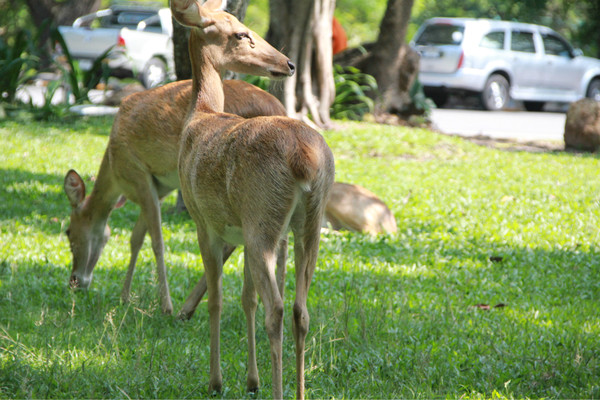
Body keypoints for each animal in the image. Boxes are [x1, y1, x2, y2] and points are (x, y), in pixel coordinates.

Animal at [63, 78, 286, 316]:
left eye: (68, 232)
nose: (75, 281)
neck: (115, 171)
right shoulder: (160, 188)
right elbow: (136, 237)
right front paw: (125, 297)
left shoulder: (139, 175)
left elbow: (157, 241)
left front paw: (165, 306)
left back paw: (187, 308)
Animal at [171, 0, 336, 396]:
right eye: (240, 33)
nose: (288, 63)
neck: (199, 115)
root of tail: (305, 159)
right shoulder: (240, 233)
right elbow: (246, 298)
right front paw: (251, 380)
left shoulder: (204, 222)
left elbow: (217, 298)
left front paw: (216, 381)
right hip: (306, 223)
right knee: (300, 309)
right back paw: (299, 391)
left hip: (263, 218)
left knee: (276, 308)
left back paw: (279, 391)